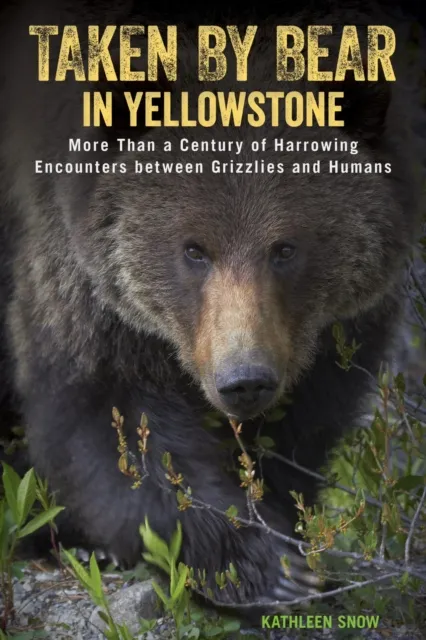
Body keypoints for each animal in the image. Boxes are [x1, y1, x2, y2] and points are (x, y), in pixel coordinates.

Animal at [0, 0, 425, 608]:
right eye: (194, 249)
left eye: (285, 248)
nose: (243, 380)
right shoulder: (82, 281)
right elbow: (112, 421)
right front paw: (259, 566)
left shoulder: (331, 331)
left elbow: (307, 420)